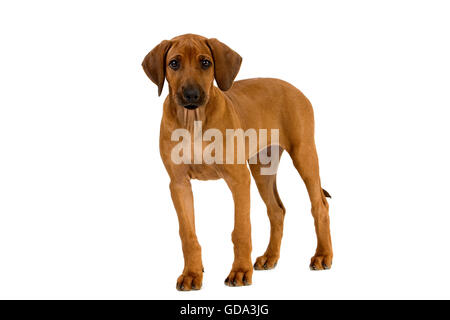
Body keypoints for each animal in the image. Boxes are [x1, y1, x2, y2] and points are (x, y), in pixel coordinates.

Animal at [142, 34, 332, 290]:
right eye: (173, 63)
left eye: (205, 63)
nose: (191, 95)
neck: (193, 122)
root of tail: (295, 88)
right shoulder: (179, 183)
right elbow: (187, 234)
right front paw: (192, 273)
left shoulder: (239, 179)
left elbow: (241, 230)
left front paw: (241, 271)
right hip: (263, 168)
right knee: (277, 210)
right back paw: (270, 257)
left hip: (304, 155)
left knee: (319, 205)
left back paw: (323, 255)